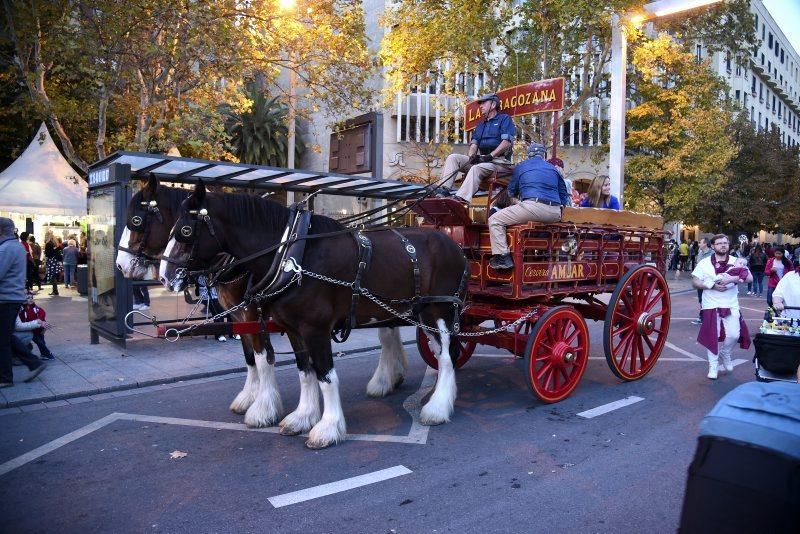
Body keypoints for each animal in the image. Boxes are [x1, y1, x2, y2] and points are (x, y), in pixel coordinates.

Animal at [115, 176, 410, 432]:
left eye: (136, 220)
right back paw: (390, 377)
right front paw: (250, 396)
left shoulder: (252, 313)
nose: (120, 266)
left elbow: (263, 357)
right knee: (389, 332)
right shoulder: (238, 316)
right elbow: (250, 358)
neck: (280, 252)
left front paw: (263, 407)